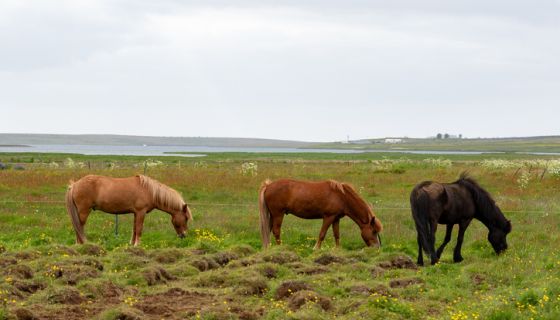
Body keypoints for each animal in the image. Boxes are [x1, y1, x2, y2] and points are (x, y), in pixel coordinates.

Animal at [64, 175, 192, 245]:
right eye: (186, 218)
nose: (184, 236)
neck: (149, 190)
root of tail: (75, 184)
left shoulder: (136, 213)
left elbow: (134, 229)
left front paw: (131, 243)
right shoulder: (141, 212)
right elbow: (139, 229)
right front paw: (137, 245)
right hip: (83, 211)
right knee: (79, 227)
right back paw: (81, 244)